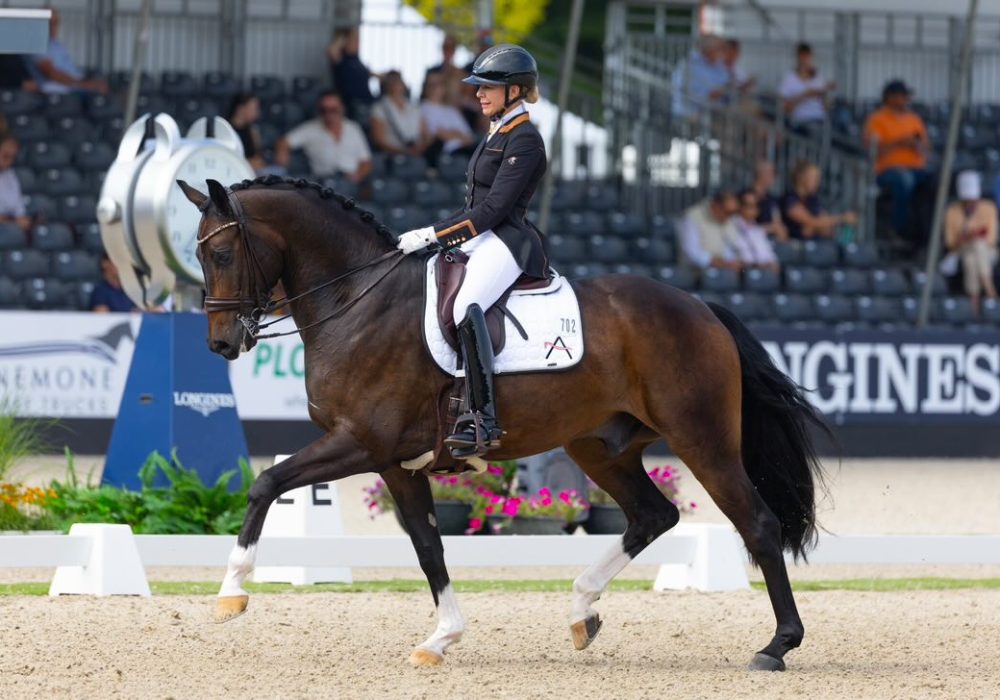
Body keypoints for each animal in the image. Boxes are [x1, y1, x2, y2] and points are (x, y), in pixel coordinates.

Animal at [178, 175, 826, 672]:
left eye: (222, 254)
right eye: (199, 256)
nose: (219, 344)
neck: (357, 300)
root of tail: (700, 307)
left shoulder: (359, 442)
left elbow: (267, 483)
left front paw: (232, 592)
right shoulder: (396, 463)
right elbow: (428, 547)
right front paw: (441, 638)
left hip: (702, 439)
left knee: (757, 524)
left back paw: (776, 646)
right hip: (600, 446)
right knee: (652, 515)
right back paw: (581, 610)